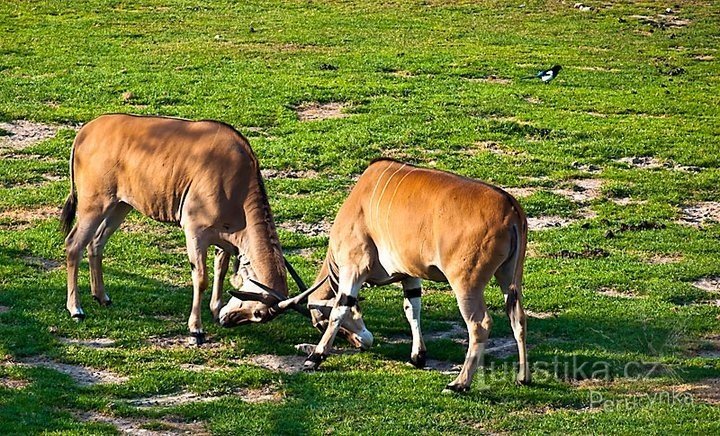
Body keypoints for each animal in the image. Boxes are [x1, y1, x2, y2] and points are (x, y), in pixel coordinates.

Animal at [58, 113, 310, 344]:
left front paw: (215, 310)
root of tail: (85, 132)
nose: (227, 321)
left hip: (120, 205)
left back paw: (102, 297)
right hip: (95, 205)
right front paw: (196, 329)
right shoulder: (195, 232)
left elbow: (221, 270)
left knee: (96, 243)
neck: (236, 179)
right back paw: (76, 309)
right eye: (258, 312)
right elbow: (201, 278)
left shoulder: (225, 239)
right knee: (74, 244)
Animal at [228, 159, 532, 392]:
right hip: (510, 279)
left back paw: (459, 384)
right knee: (517, 318)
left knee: (480, 324)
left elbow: (340, 308)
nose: (362, 343)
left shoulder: (353, 268)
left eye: (318, 323)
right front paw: (417, 356)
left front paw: (315, 356)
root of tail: (511, 208)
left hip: (466, 285)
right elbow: (412, 309)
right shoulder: (410, 276)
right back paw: (522, 377)